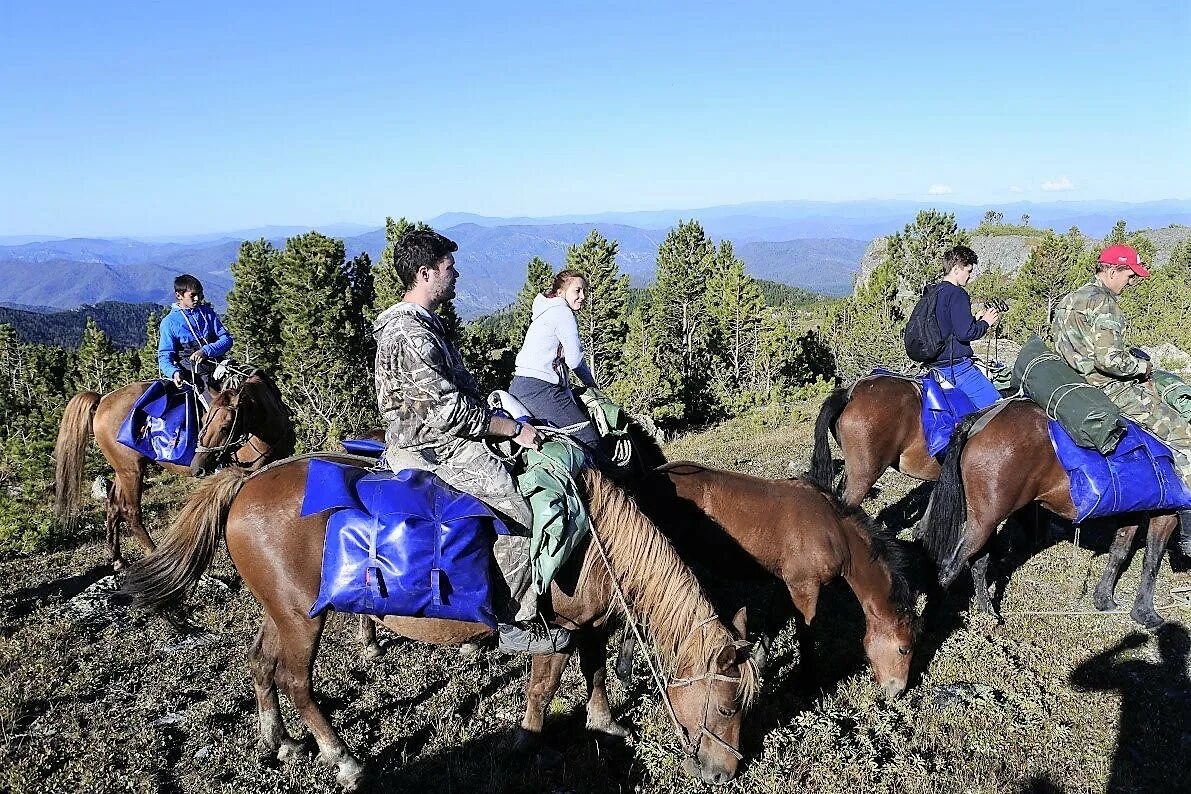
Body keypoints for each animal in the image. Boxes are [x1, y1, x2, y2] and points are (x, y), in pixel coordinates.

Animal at [51, 369, 295, 569]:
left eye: (226, 426)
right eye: (205, 418)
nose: (198, 466)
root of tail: (102, 400)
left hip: (124, 469)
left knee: (112, 506)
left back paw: (118, 559)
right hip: (132, 471)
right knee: (130, 511)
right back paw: (153, 554)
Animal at [120, 459, 762, 790]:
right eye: (727, 706)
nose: (727, 769)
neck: (593, 537)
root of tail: (248, 482)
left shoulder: (591, 626)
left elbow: (597, 670)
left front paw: (605, 722)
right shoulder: (555, 628)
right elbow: (544, 687)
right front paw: (527, 743)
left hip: (280, 612)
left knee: (260, 664)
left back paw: (276, 740)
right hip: (303, 619)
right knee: (298, 682)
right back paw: (341, 756)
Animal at [628, 461, 924, 699]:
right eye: (904, 649)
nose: (897, 691)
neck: (833, 531)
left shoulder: (788, 583)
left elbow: (772, 622)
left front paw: (758, 667)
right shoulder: (804, 587)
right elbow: (806, 634)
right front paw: (809, 686)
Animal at [914, 399, 1176, 628]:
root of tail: (981, 420)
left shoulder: (1134, 510)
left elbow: (1119, 552)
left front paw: (1104, 599)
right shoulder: (1167, 513)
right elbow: (1152, 560)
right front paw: (1146, 613)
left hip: (984, 520)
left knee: (978, 563)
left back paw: (988, 613)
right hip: (984, 521)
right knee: (950, 567)